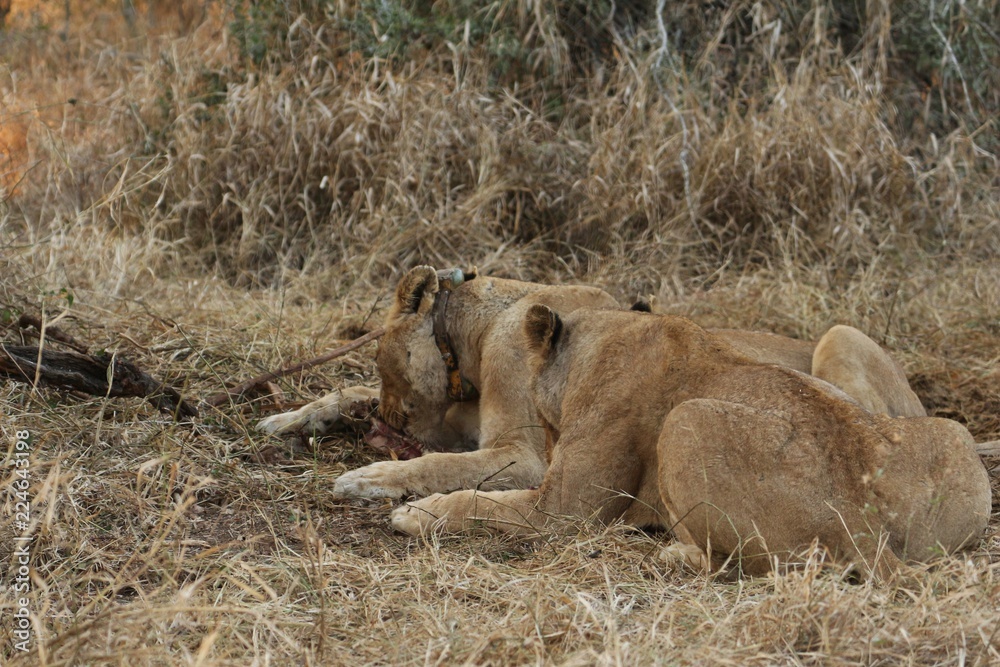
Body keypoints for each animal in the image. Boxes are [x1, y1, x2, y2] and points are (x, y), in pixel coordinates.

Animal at [389, 306, 993, 580]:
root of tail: (862, 520)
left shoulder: (563, 510)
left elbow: (480, 501)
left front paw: (417, 514)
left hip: (686, 420)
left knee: (749, 566)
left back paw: (673, 551)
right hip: (953, 436)